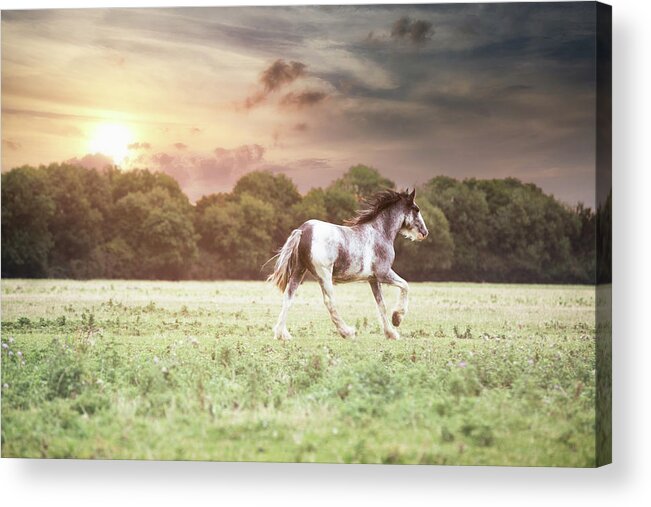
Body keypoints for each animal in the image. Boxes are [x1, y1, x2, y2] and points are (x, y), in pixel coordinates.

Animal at [268, 190, 430, 342]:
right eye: (416, 209)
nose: (424, 233)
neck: (380, 233)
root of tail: (303, 230)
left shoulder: (373, 280)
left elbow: (381, 305)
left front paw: (391, 333)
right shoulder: (383, 274)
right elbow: (405, 286)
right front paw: (397, 318)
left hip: (299, 271)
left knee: (288, 297)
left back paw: (282, 334)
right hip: (324, 274)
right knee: (329, 302)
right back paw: (347, 332)